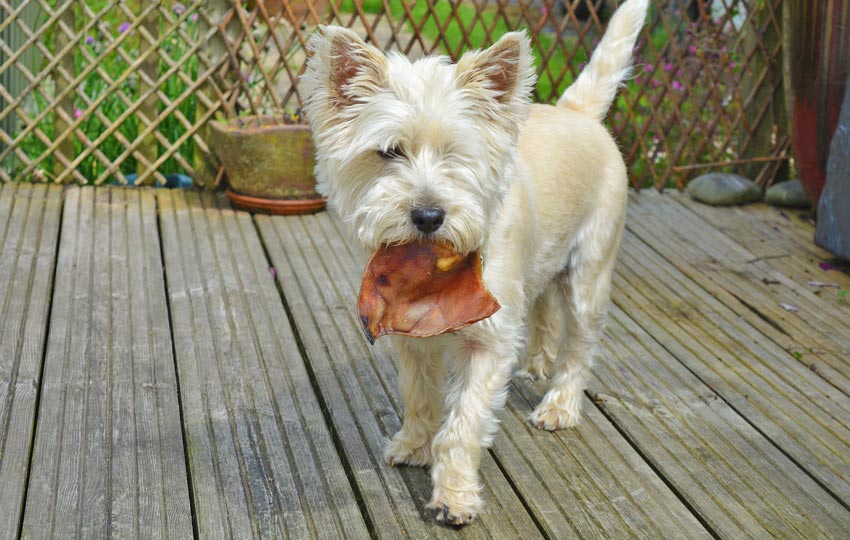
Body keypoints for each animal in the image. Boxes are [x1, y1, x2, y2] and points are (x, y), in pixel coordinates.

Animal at [302, 0, 644, 524]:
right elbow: (418, 394)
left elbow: (463, 424)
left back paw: (559, 406)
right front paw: (414, 445)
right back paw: (537, 366)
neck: (433, 273)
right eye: (388, 151)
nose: (428, 216)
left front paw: (454, 496)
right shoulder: (411, 335)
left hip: (588, 272)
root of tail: (577, 113)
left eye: (456, 154)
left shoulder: (489, 340)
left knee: (580, 344)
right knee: (544, 312)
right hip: (542, 266)